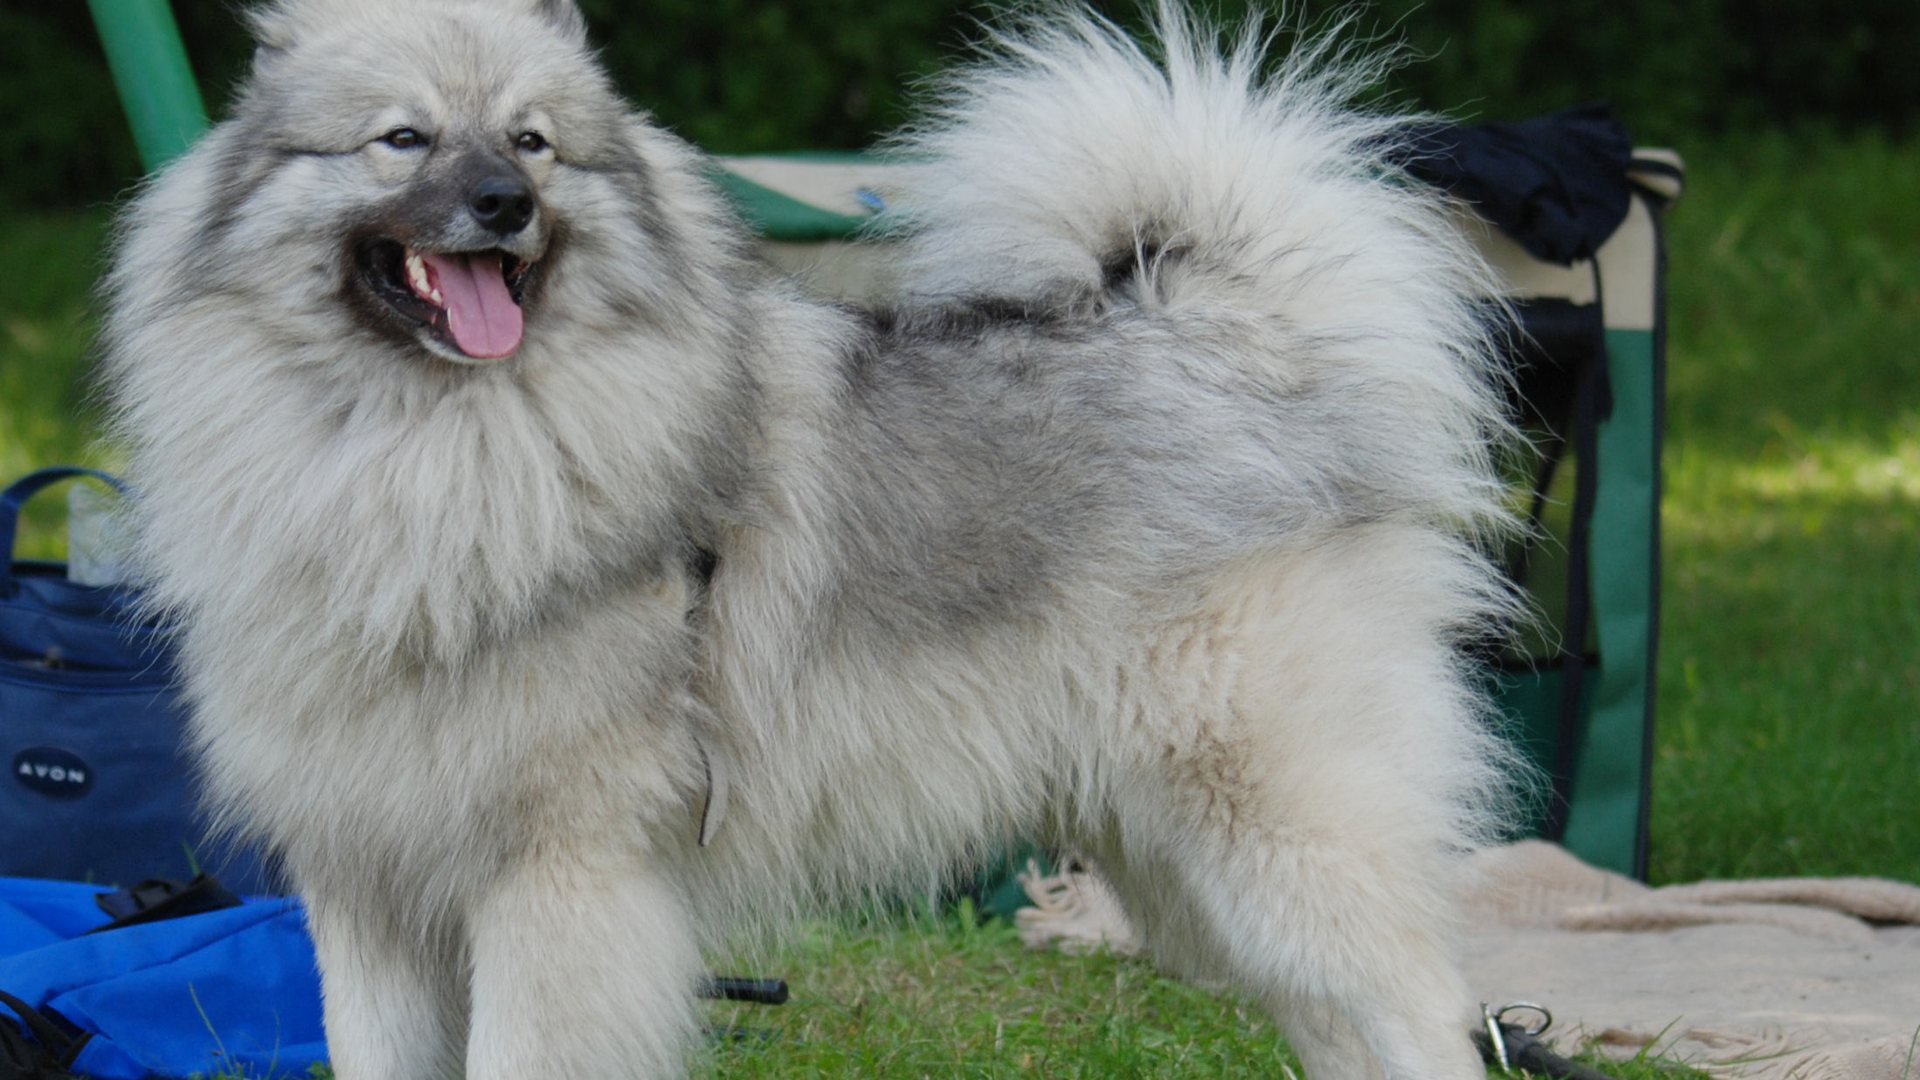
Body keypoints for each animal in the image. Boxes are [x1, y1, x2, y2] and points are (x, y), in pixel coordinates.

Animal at [101, 0, 1518, 1076]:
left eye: (534, 143)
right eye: (402, 139)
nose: (502, 202)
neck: (414, 451)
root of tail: (1227, 338)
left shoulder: (557, 886)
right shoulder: (371, 895)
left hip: (1279, 838)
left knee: (1422, 1018)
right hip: (1182, 872)